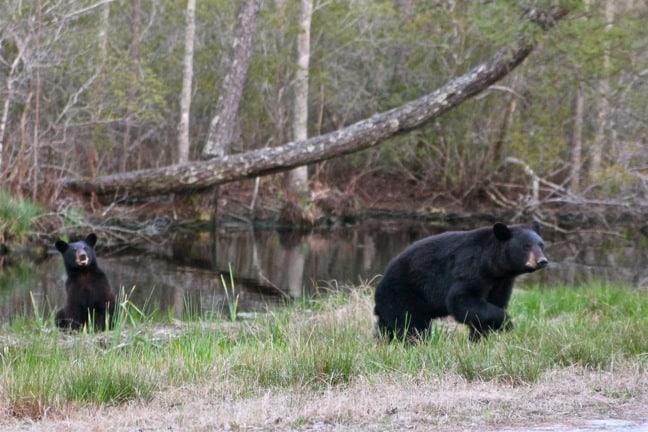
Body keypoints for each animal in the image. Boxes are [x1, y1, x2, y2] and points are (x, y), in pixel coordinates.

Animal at [374, 223, 548, 340]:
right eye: (526, 246)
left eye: (541, 245)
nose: (542, 261)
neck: (494, 268)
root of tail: (379, 286)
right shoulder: (470, 269)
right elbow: (462, 300)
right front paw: (506, 323)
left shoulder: (502, 283)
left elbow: (494, 303)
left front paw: (481, 337)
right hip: (403, 294)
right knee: (411, 323)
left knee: (386, 326)